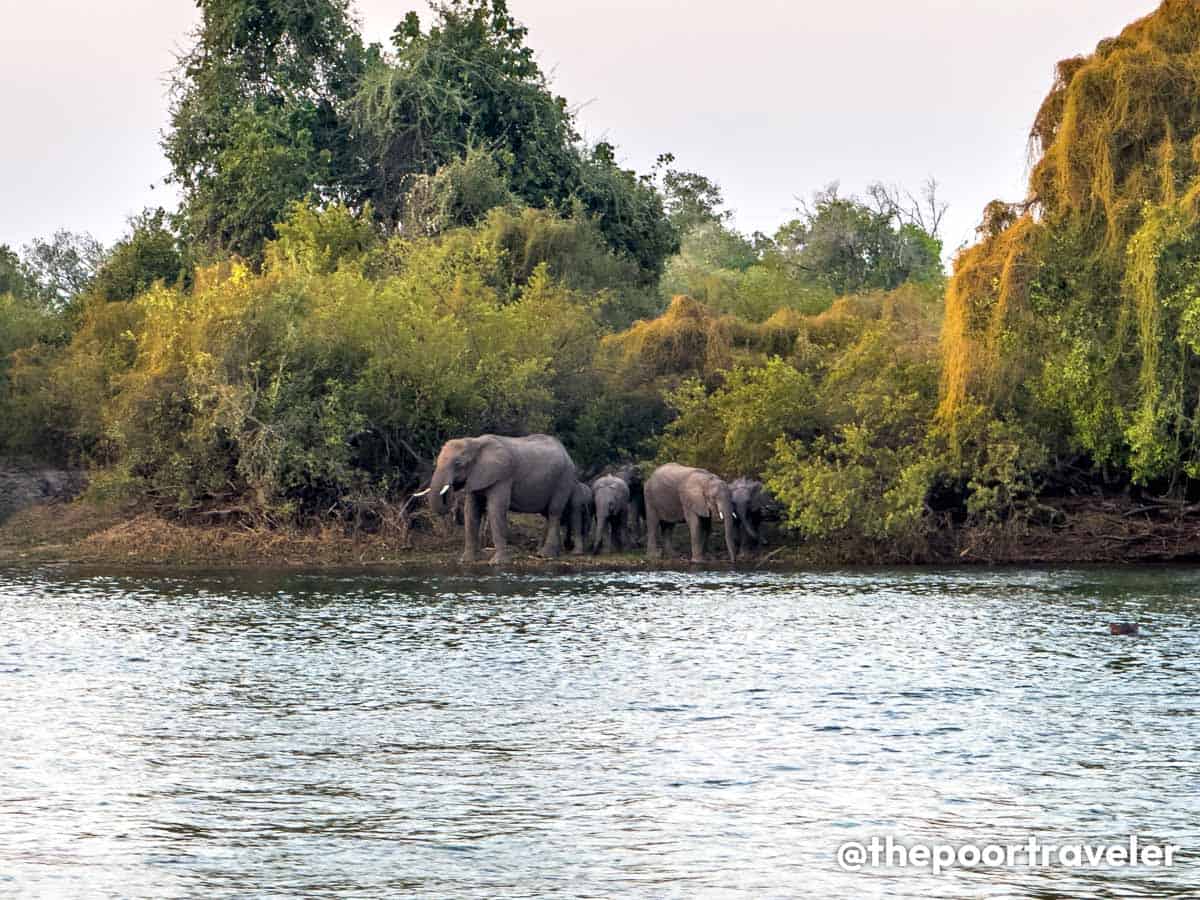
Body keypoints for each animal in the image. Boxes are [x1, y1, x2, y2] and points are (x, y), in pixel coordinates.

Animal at [429, 434, 578, 564]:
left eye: (458, 463)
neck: (475, 442)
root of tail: (566, 452)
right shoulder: (476, 476)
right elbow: (471, 511)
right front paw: (466, 560)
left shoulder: (502, 476)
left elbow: (496, 508)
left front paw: (498, 563)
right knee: (547, 515)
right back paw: (545, 553)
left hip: (564, 478)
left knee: (554, 512)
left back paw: (546, 555)